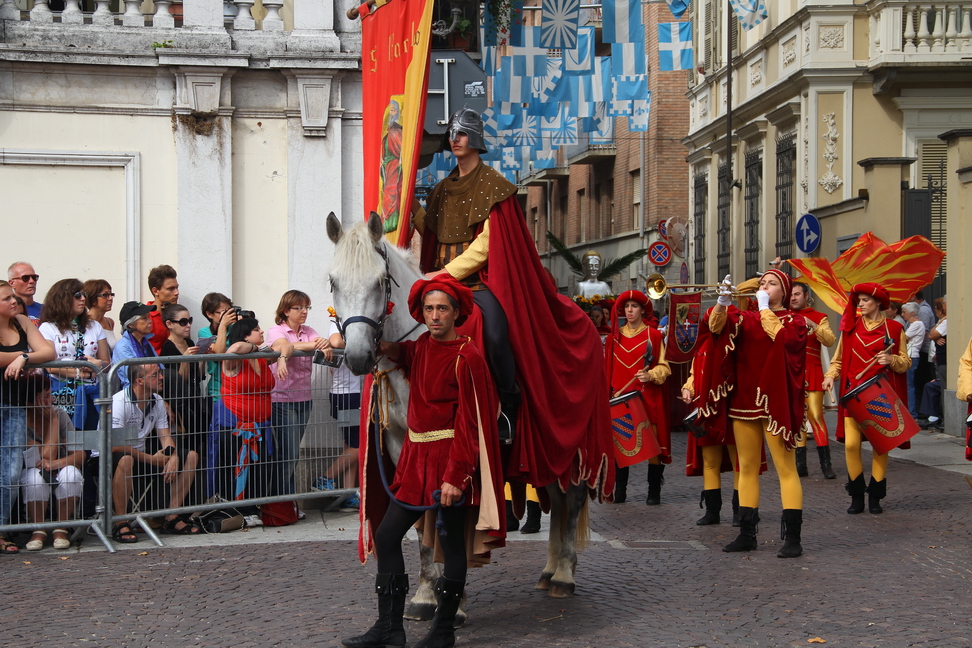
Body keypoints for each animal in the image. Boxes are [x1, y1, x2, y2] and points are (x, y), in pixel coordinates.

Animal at [324, 211, 592, 616]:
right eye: (333, 282)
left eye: (380, 281)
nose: (357, 357)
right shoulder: (403, 444)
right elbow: (419, 514)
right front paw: (426, 593)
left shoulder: (458, 442)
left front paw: (450, 594)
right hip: (542, 449)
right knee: (556, 498)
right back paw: (549, 571)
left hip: (570, 440)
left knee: (572, 497)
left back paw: (563, 576)